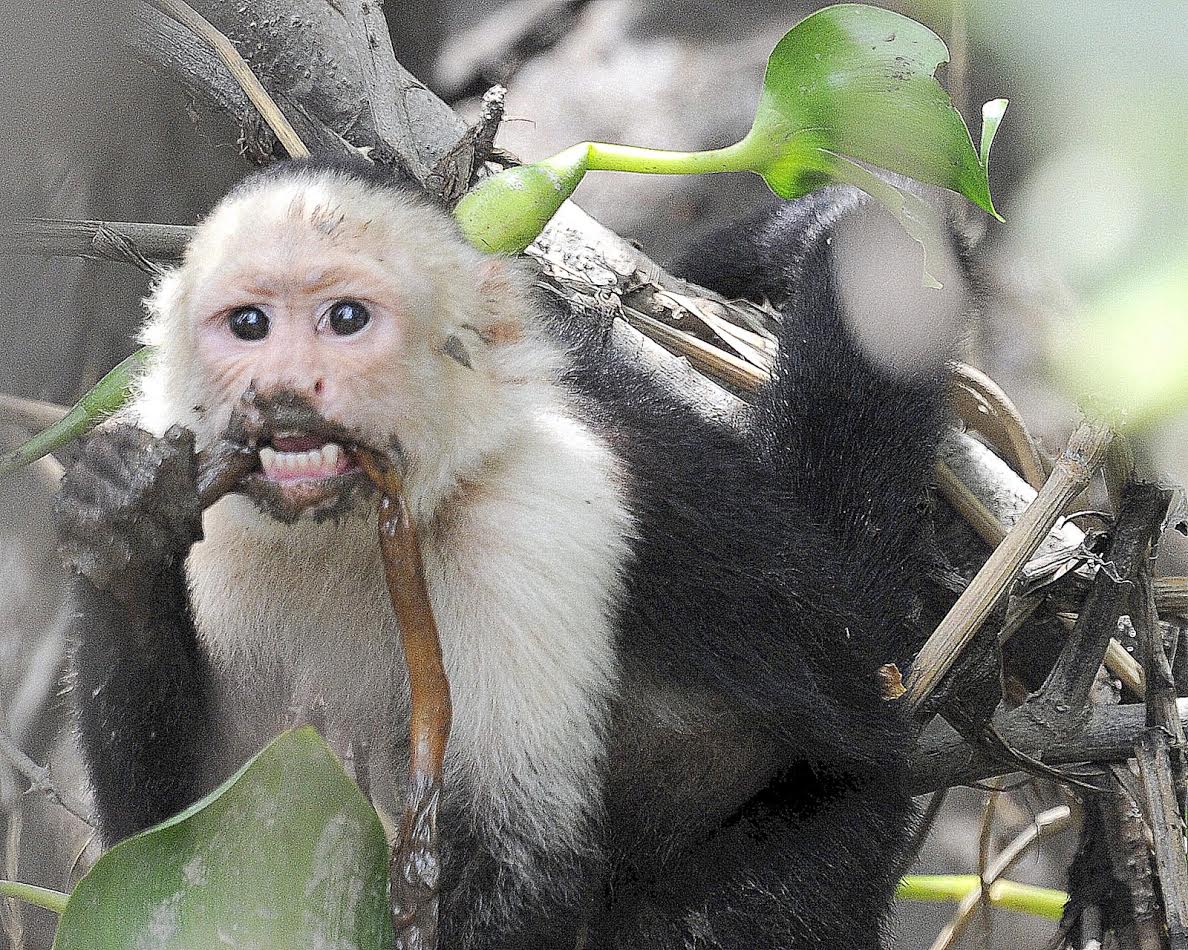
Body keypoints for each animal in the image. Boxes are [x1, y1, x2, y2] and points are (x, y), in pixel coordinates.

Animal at [55, 157, 960, 949]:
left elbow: (520, 864)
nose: (283, 385)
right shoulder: (228, 538)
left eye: (346, 319)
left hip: (837, 811)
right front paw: (124, 524)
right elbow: (180, 844)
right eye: (250, 325)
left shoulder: (537, 513)